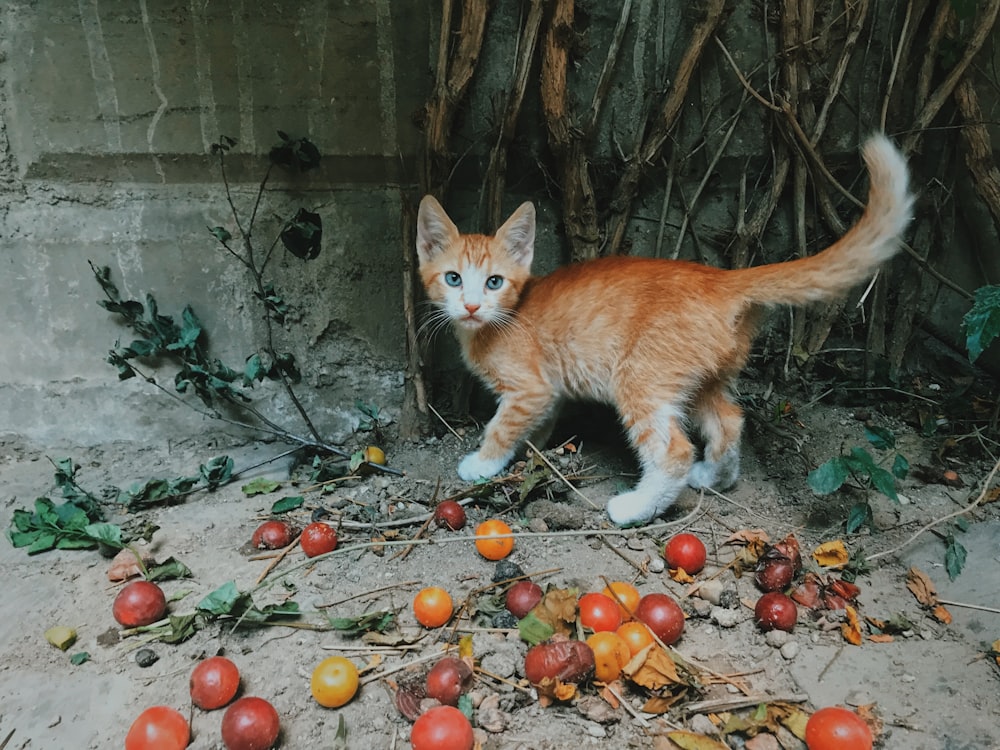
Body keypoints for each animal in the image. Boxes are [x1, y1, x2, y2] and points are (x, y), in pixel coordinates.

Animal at [414, 132, 916, 524]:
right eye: (453, 279)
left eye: (494, 282)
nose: (472, 305)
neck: (498, 320)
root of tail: (720, 278)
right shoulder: (550, 391)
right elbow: (535, 426)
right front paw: (531, 450)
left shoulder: (529, 388)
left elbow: (501, 425)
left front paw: (483, 463)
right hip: (698, 378)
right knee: (729, 421)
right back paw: (714, 478)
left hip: (639, 378)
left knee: (674, 450)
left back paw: (636, 507)